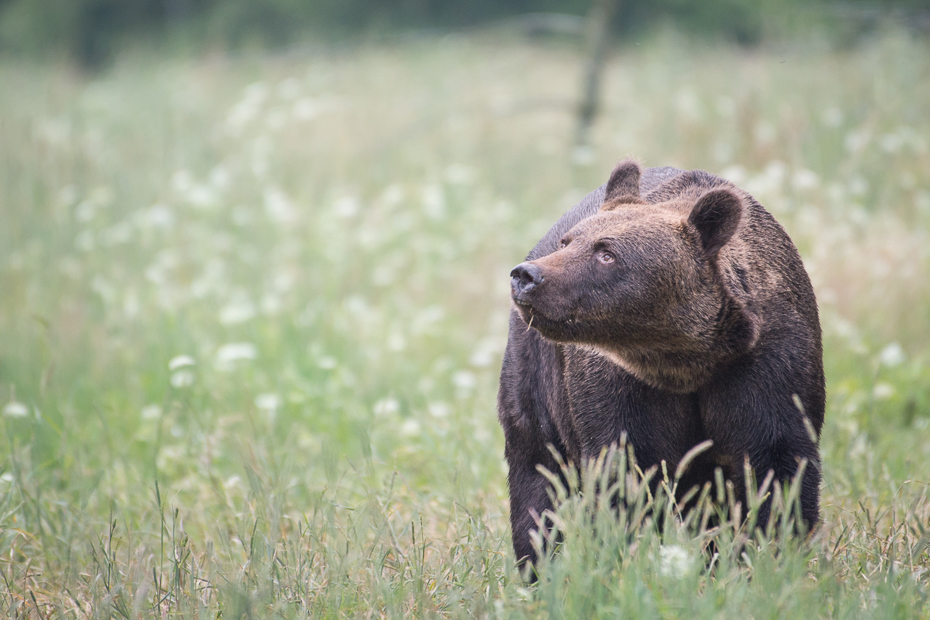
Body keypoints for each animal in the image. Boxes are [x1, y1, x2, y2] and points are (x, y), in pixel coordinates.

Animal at [496, 159, 824, 572]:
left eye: (607, 253)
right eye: (569, 242)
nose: (527, 276)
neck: (688, 360)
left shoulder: (768, 368)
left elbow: (776, 471)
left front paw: (765, 558)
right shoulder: (622, 388)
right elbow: (624, 477)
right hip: (535, 375)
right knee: (535, 469)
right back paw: (539, 568)